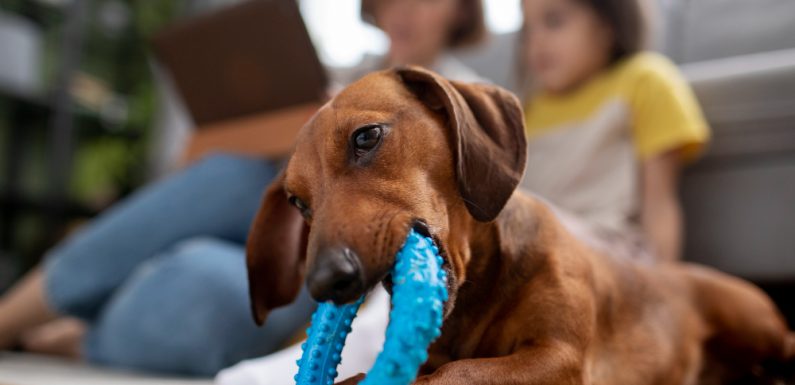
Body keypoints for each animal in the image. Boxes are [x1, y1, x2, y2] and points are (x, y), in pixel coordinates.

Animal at [246, 67, 792, 382]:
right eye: (297, 202)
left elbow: (455, 375)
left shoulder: (558, 356)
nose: (324, 283)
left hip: (754, 323)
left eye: (366, 137)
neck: (478, 292)